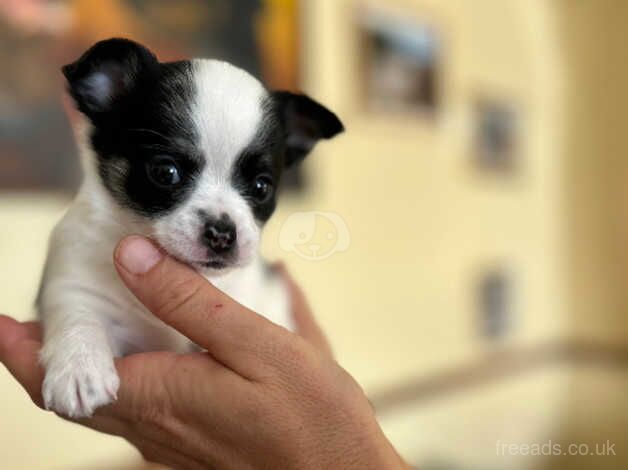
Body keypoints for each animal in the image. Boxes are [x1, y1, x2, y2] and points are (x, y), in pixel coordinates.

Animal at [38, 38, 344, 416]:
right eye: (165, 172)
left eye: (262, 187)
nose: (222, 233)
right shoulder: (74, 281)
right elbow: (78, 315)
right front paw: (79, 368)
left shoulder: (265, 296)